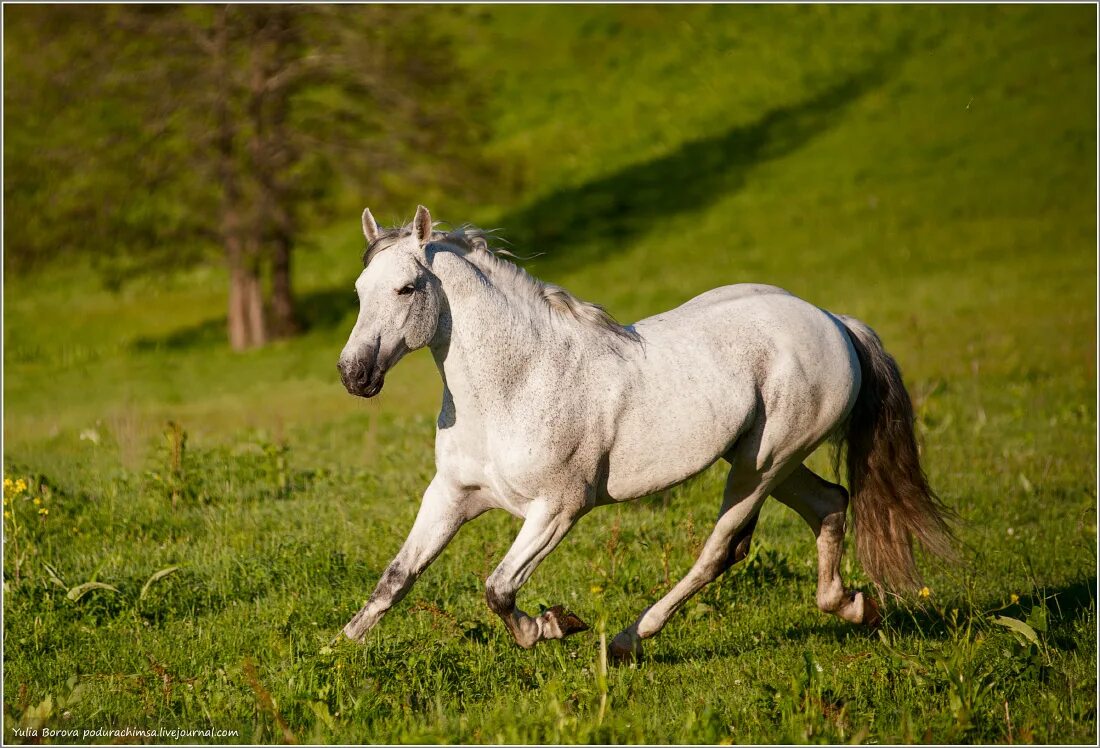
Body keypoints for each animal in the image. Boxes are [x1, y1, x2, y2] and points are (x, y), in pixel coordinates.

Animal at [336, 204, 954, 660]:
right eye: (360, 289)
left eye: (407, 288)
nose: (353, 374)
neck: (516, 383)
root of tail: (834, 322)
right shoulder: (452, 496)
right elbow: (396, 578)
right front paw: (335, 652)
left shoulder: (559, 509)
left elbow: (499, 587)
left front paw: (554, 625)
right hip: (766, 460)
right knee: (830, 503)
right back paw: (853, 606)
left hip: (762, 465)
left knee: (721, 549)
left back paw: (627, 642)